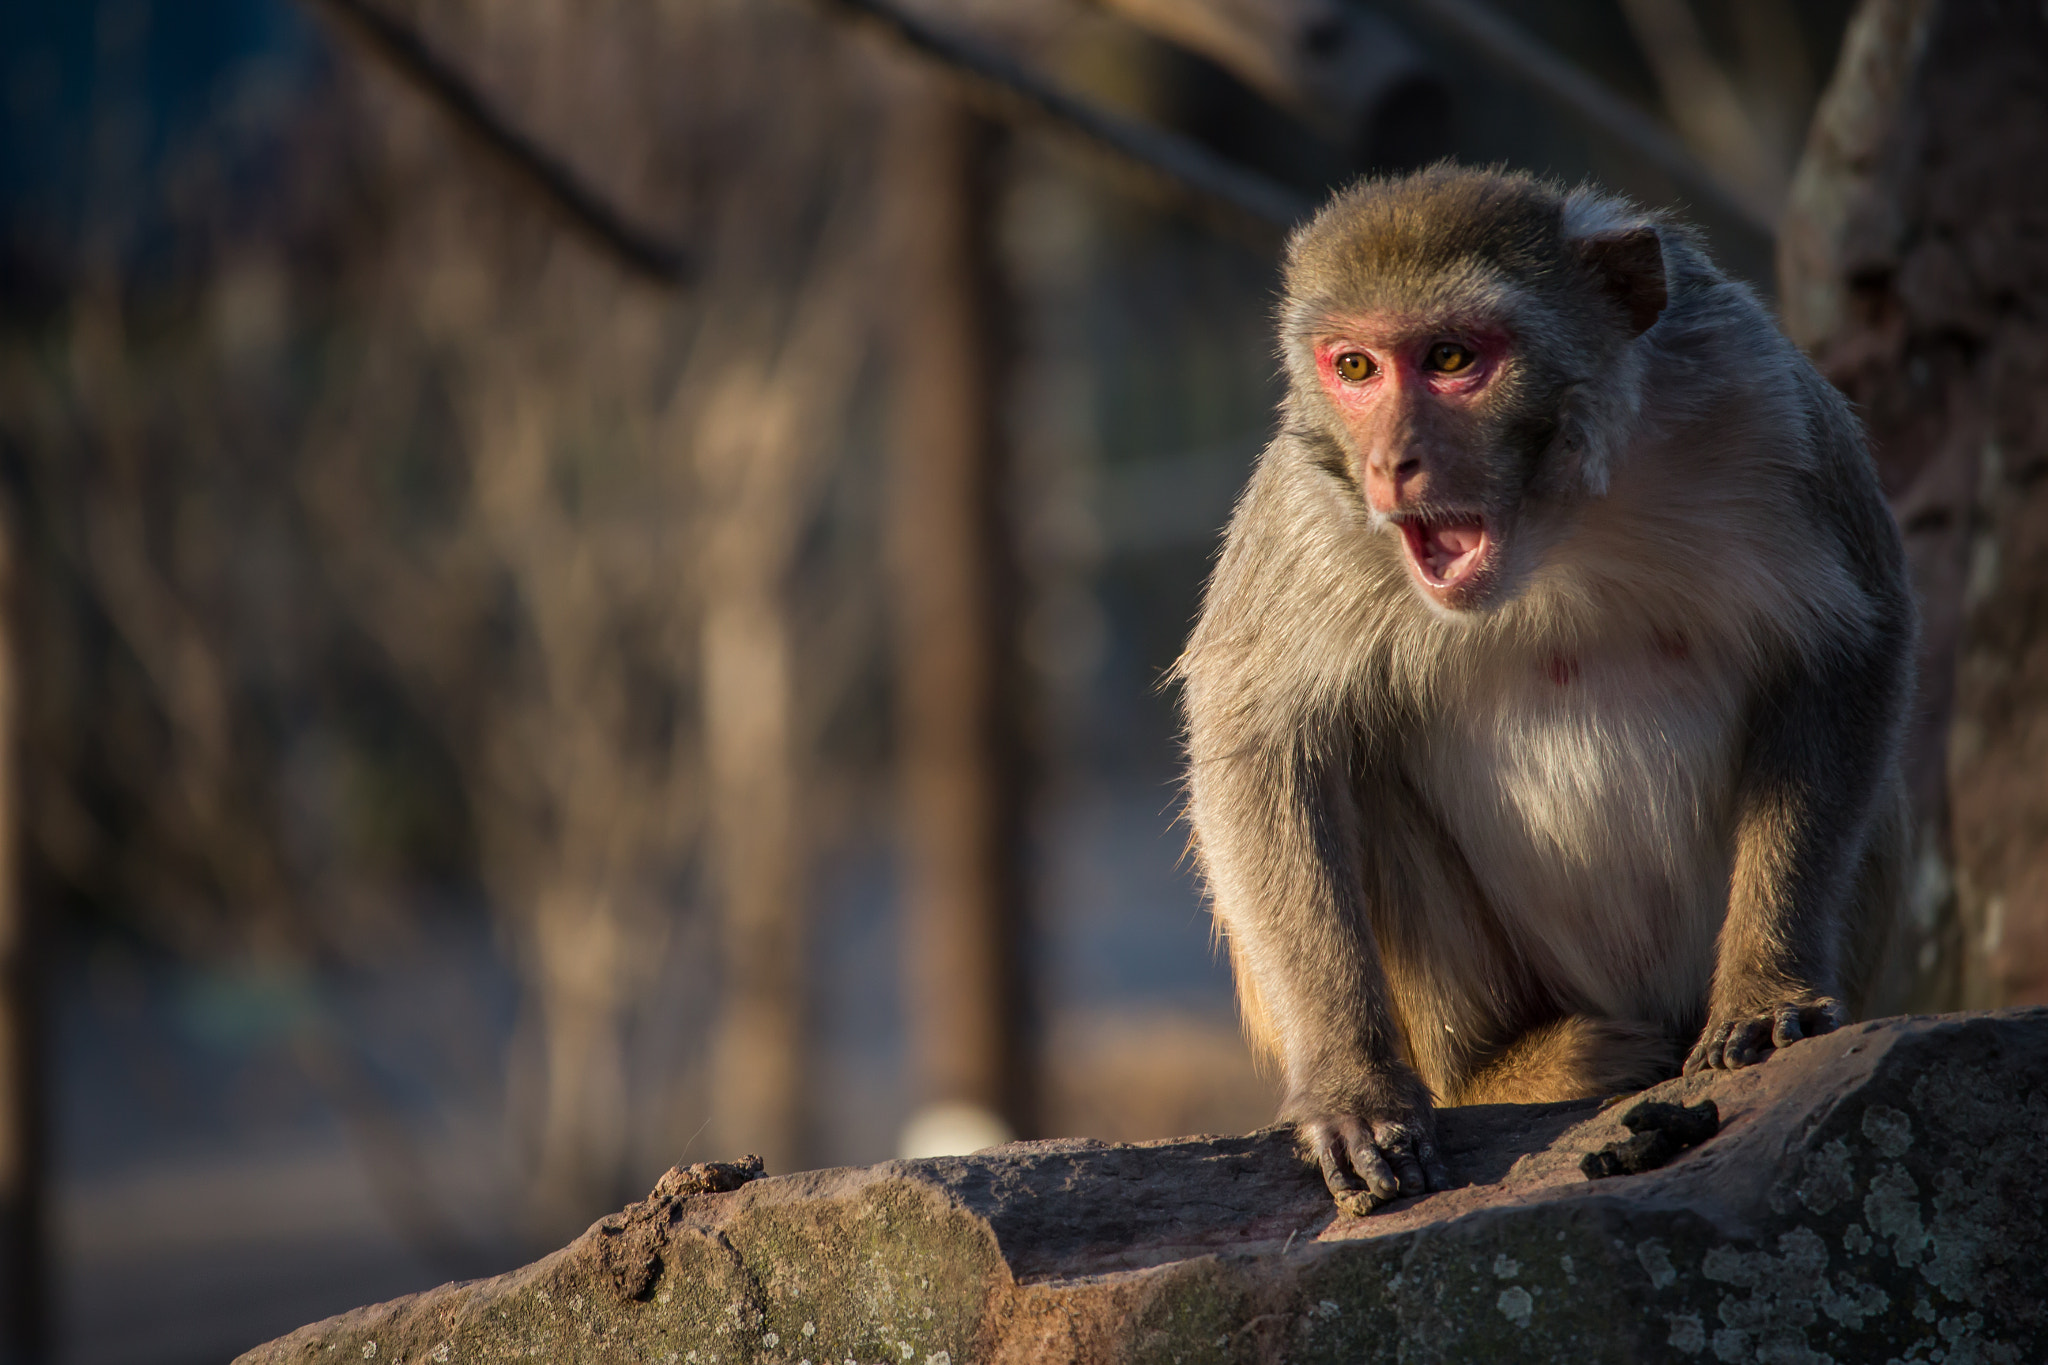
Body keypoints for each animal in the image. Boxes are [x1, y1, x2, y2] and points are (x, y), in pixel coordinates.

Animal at [1177, 167, 1913, 1215]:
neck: (1555, 522)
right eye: (1354, 367)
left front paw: (1767, 987)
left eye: (1451, 357)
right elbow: (1262, 734)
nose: (1391, 462)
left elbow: (1849, 644)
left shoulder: (1764, 400)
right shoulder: (1311, 500)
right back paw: (1510, 1069)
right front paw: (1353, 1084)